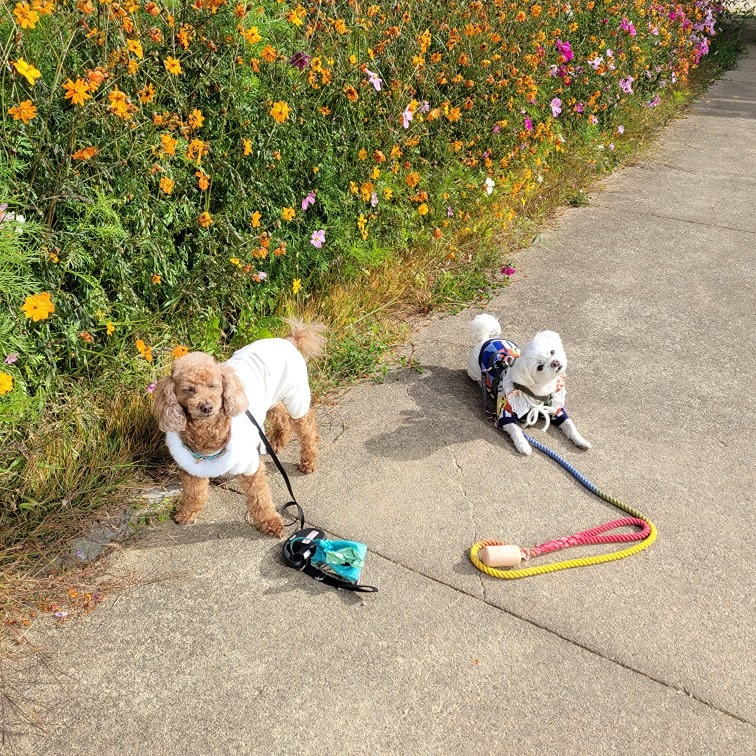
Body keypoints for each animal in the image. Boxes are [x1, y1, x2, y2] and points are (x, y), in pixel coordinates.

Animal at [466, 314, 592, 454]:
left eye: (552, 352)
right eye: (540, 367)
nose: (555, 362)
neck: (540, 391)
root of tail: (486, 339)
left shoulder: (556, 409)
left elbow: (569, 424)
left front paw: (580, 440)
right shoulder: (505, 413)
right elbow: (516, 429)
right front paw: (523, 444)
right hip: (473, 371)